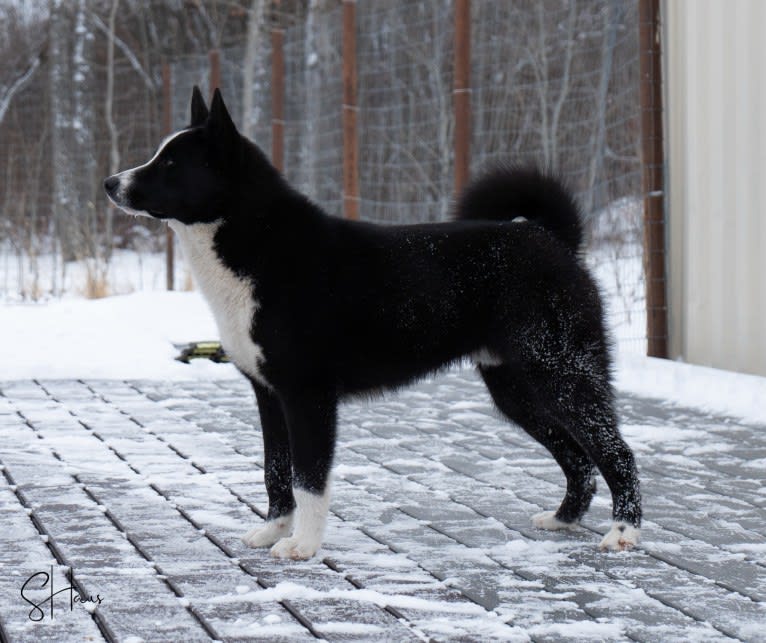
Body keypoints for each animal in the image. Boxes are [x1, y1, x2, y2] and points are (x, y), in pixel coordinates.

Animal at [103, 88, 640, 560]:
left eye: (172, 164)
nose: (111, 183)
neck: (261, 244)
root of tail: (552, 239)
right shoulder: (268, 395)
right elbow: (276, 471)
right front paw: (273, 529)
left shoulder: (308, 396)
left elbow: (308, 477)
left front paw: (302, 545)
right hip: (518, 390)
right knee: (578, 459)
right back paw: (563, 519)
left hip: (564, 377)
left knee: (616, 452)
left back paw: (623, 532)